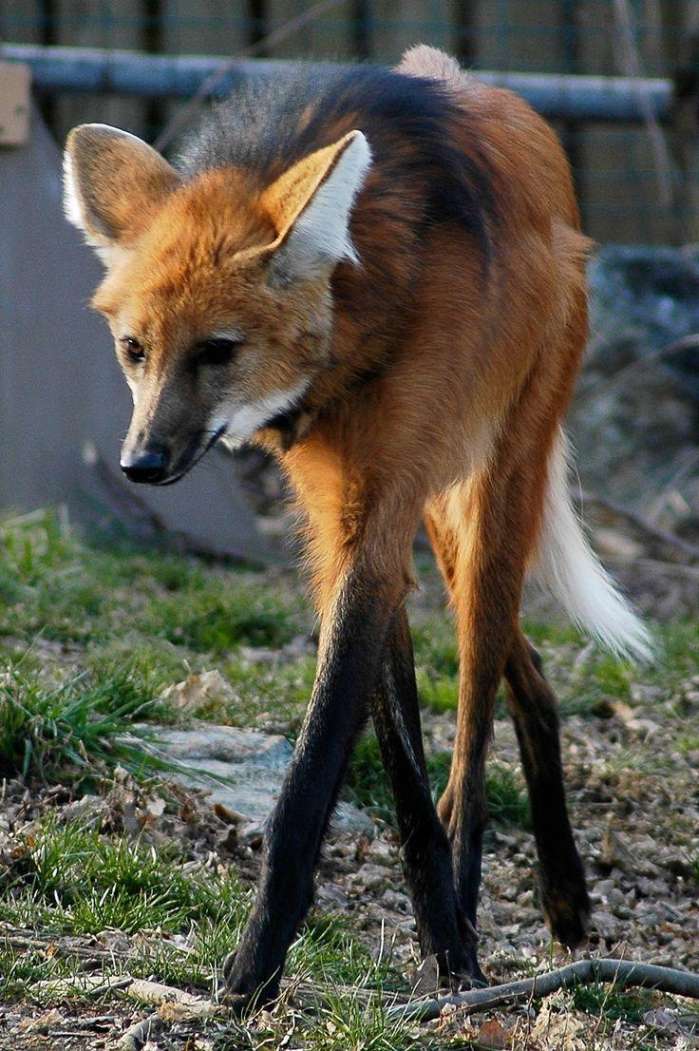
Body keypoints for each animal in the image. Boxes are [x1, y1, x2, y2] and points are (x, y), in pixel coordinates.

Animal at [63, 45, 651, 1007]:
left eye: (217, 350)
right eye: (135, 350)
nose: (141, 464)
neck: (357, 327)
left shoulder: (377, 518)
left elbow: (319, 774)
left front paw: (261, 968)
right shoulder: (344, 527)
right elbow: (398, 761)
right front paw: (432, 931)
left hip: (496, 488)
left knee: (478, 719)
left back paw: (495, 909)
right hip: (443, 521)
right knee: (528, 679)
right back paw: (559, 896)